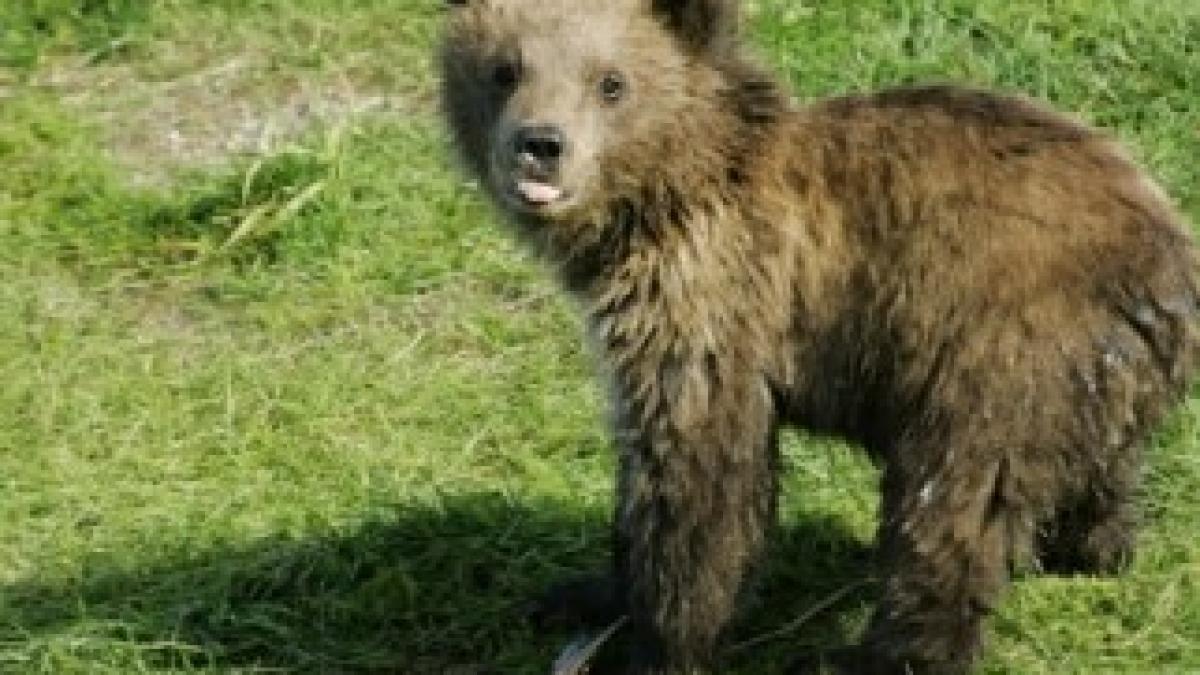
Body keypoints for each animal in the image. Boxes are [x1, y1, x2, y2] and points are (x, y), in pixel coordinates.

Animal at [438, 0, 1200, 672]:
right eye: (504, 68)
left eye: (611, 81)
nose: (540, 145)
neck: (662, 202)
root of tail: (1166, 262)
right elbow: (640, 481)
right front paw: (583, 593)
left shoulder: (715, 312)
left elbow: (699, 484)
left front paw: (663, 642)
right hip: (1093, 373)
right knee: (1099, 465)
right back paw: (1094, 548)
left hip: (1002, 345)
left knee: (951, 502)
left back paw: (872, 654)